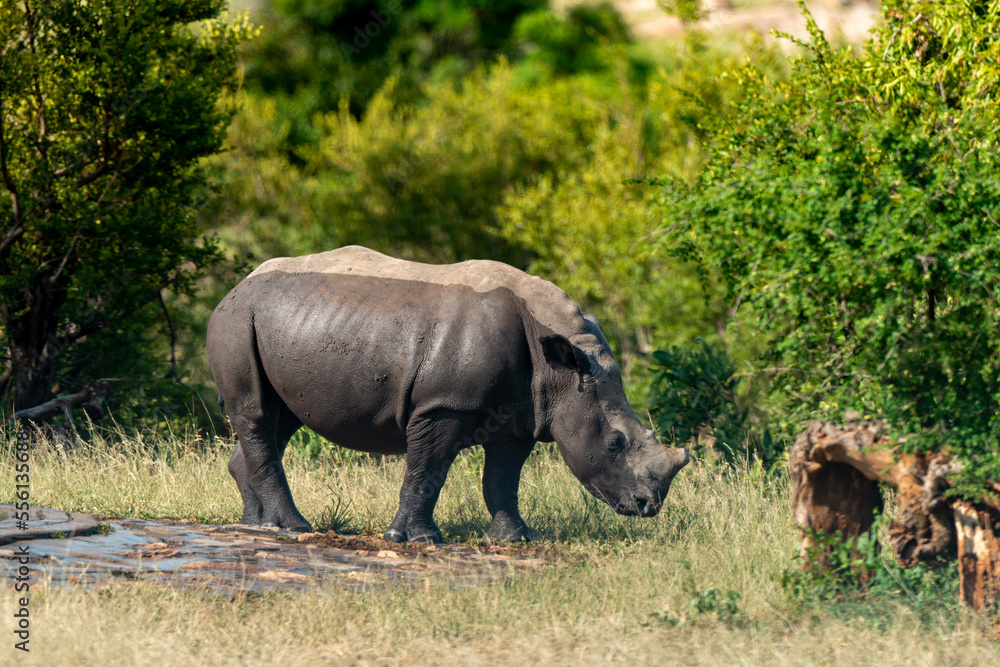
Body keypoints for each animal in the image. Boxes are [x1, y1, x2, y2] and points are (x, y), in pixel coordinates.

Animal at [207, 246, 689, 542]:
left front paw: (516, 538)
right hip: (237, 320)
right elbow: (427, 469)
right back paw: (292, 529)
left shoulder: (523, 414)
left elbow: (502, 478)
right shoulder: (444, 404)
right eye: (615, 443)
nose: (648, 507)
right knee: (257, 413)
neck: (560, 367)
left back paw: (255, 526)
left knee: (279, 417)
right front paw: (416, 539)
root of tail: (235, 285)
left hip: (277, 323)